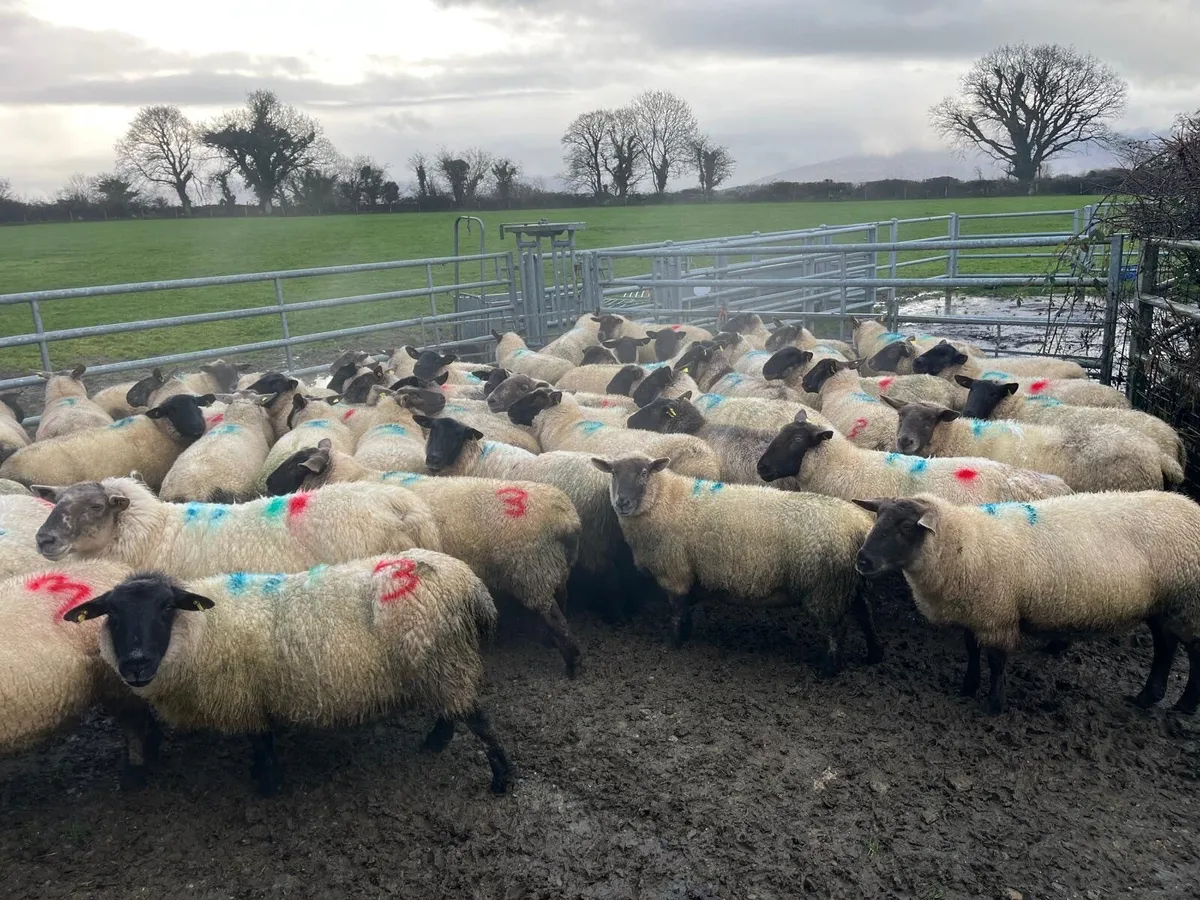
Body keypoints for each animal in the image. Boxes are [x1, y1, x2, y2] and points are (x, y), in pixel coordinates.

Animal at [68, 558, 512, 795]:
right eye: (112, 613)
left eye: (165, 607)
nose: (136, 663)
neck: (202, 630)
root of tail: (467, 581)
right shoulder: (252, 696)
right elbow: (261, 740)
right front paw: (261, 776)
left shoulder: (246, 696)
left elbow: (262, 743)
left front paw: (266, 786)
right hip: (440, 664)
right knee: (453, 711)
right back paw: (435, 743)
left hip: (443, 659)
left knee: (478, 719)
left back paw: (502, 778)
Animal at [266, 442, 585, 676]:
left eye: (296, 464)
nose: (267, 483)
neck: (354, 476)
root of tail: (567, 519)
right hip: (554, 569)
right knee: (562, 601)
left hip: (531, 570)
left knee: (555, 616)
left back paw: (572, 662)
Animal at [591, 454, 881, 673]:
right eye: (614, 473)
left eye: (644, 473)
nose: (623, 502)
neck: (665, 500)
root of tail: (859, 525)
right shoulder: (689, 574)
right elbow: (686, 610)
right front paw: (686, 635)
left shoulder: (674, 571)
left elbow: (676, 611)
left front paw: (672, 643)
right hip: (850, 583)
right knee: (866, 617)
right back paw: (873, 656)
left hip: (826, 587)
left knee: (837, 630)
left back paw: (829, 669)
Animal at [852, 492, 1200, 714]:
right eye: (877, 518)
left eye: (905, 527)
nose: (862, 560)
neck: (964, 543)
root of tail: (1191, 505)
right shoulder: (977, 612)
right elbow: (971, 650)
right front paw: (968, 686)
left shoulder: (998, 615)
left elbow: (997, 662)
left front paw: (994, 705)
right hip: (1164, 606)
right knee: (1165, 646)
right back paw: (1147, 697)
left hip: (1187, 603)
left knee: (1191, 652)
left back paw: (1184, 705)